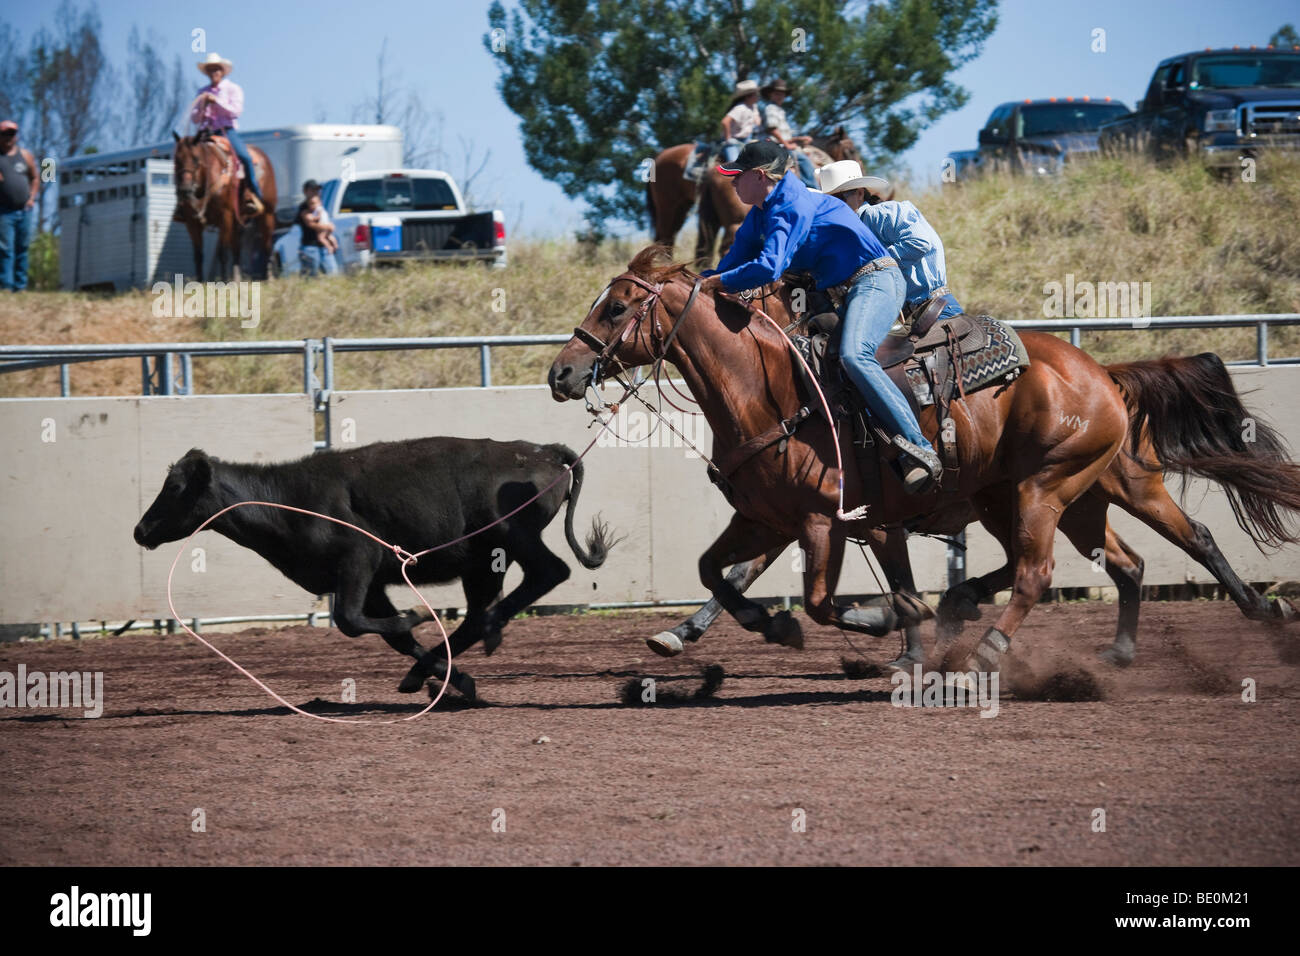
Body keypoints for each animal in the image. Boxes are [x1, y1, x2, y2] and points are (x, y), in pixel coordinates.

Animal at [170, 130, 276, 280]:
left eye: (196, 159)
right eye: (176, 159)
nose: (185, 190)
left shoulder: (225, 217)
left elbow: (223, 252)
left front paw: (225, 279)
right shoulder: (192, 223)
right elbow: (198, 255)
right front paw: (200, 281)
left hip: (267, 214)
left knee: (267, 243)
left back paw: (270, 276)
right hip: (238, 220)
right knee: (237, 247)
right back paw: (238, 277)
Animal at [548, 248, 1300, 681]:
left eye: (618, 306)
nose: (562, 373)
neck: (774, 391)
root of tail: (1103, 373)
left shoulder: (828, 521)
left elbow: (821, 598)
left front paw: (889, 630)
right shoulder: (771, 520)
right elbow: (720, 574)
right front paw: (721, 630)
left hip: (1058, 489)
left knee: (1062, 566)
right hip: (1051, 498)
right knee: (1126, 562)